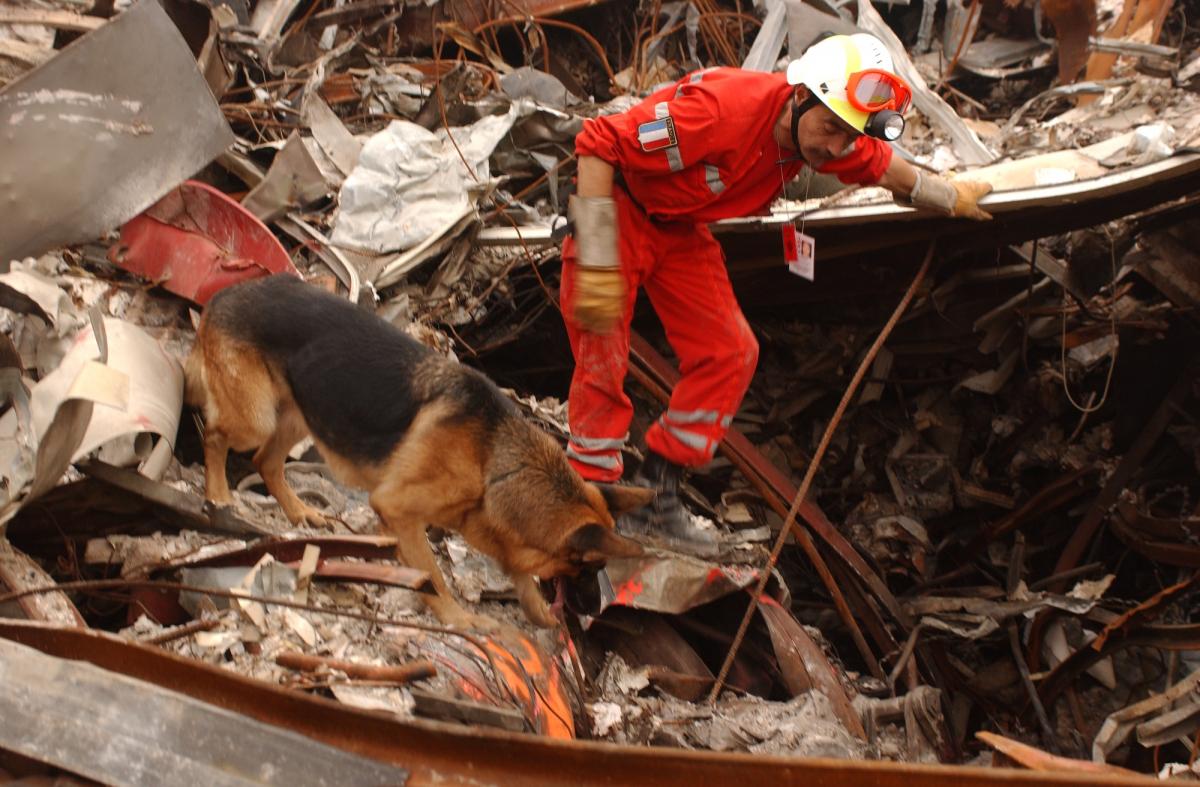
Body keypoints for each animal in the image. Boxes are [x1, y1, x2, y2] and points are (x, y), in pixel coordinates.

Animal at [184, 273, 648, 628]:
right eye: (590, 569)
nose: (593, 614)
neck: (494, 462)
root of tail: (223, 295)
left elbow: (518, 571)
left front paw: (533, 609)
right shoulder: (399, 511)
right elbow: (432, 576)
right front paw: (457, 619)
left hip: (302, 412)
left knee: (266, 461)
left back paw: (300, 513)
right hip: (256, 418)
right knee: (218, 437)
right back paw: (219, 495)